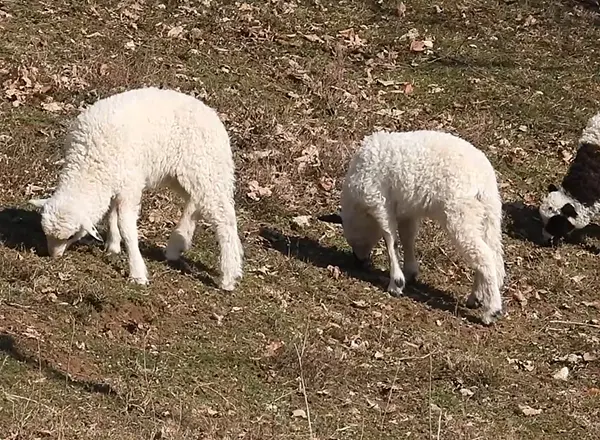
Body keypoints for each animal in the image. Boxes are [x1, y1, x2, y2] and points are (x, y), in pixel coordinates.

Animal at [28, 87, 244, 290]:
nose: (53, 256)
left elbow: (126, 226)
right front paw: (113, 245)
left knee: (224, 217)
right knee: (195, 202)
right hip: (182, 175)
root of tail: (213, 116)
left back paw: (228, 275)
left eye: (72, 235)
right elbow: (111, 213)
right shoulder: (114, 182)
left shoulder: (129, 184)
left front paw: (137, 272)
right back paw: (177, 244)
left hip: (207, 168)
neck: (89, 161)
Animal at [322, 129, 504, 324]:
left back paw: (491, 310)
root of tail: (484, 181)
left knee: (484, 256)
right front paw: (410, 272)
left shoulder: (379, 202)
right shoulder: (406, 211)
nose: (359, 262)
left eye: (353, 240)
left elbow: (390, 239)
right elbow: (407, 238)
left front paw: (396, 282)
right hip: (487, 216)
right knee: (492, 254)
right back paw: (476, 297)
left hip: (461, 214)